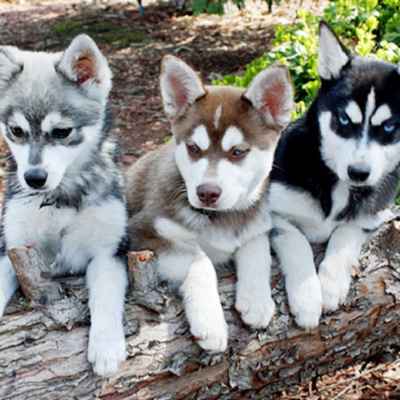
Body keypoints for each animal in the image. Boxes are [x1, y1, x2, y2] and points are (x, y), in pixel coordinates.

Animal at [0, 36, 128, 376]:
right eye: (16, 131)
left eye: (61, 132)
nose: (34, 178)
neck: (60, 201)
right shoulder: (11, 248)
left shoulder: (108, 253)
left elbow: (106, 295)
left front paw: (107, 346)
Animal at [126, 55, 294, 350]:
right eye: (193, 148)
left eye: (238, 152)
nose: (206, 192)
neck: (221, 217)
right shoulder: (143, 232)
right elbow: (199, 259)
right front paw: (210, 323)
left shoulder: (255, 225)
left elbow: (257, 250)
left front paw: (257, 300)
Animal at [268, 21, 400, 328]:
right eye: (343, 119)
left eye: (389, 127)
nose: (359, 172)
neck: (336, 184)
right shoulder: (273, 213)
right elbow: (297, 242)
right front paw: (306, 297)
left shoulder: (372, 216)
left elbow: (344, 235)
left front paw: (329, 285)